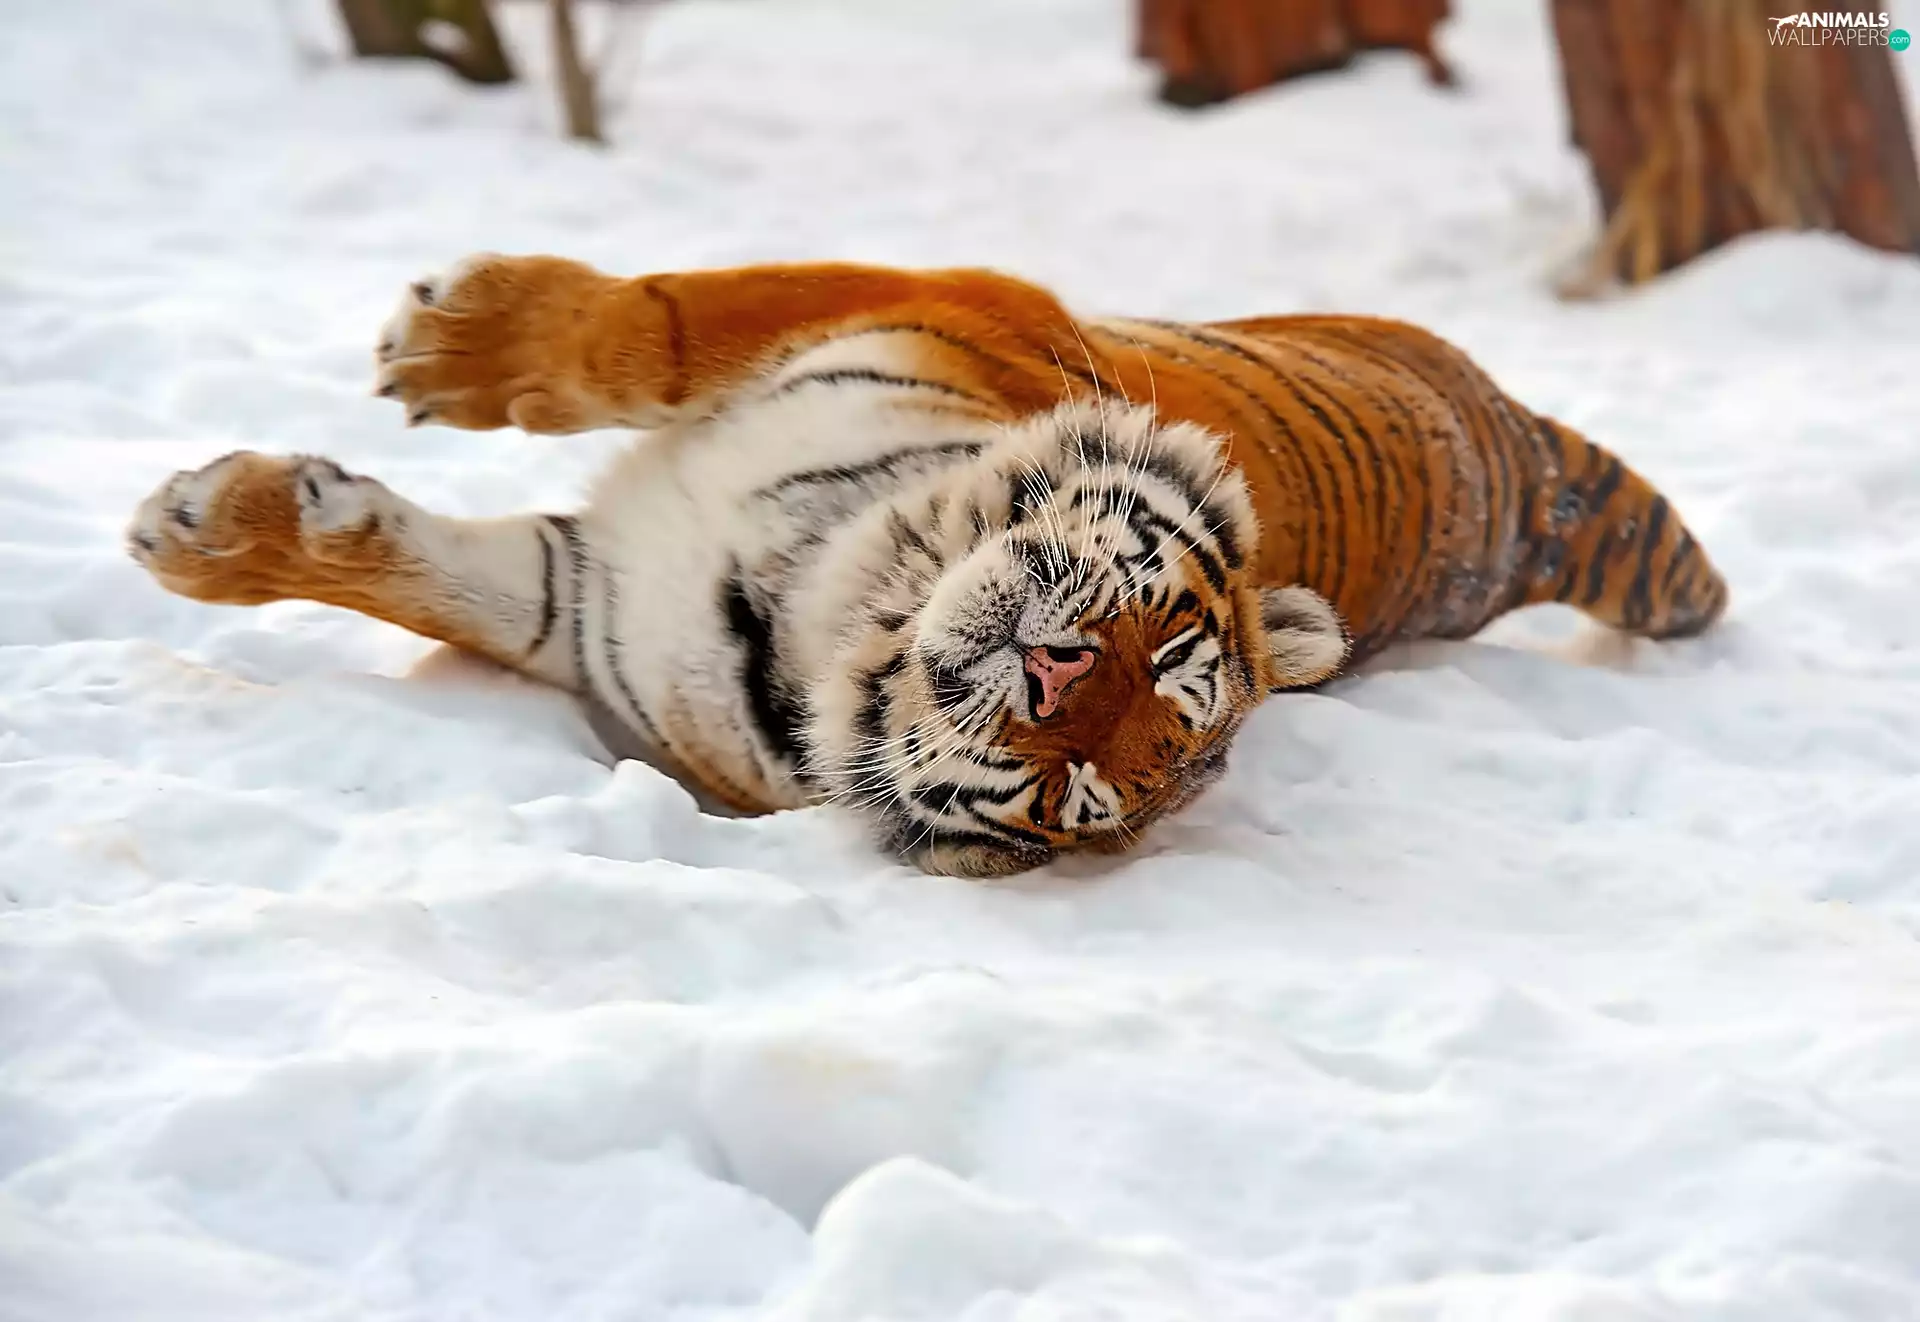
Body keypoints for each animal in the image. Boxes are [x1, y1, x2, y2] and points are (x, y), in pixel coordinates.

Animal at [126, 257, 1728, 878]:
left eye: (1082, 790)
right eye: (1169, 651)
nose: (1052, 676)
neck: (821, 594)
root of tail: (1519, 459)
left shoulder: (583, 610)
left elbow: (442, 578)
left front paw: (200, 525)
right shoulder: (914, 295)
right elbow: (645, 328)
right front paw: (447, 343)